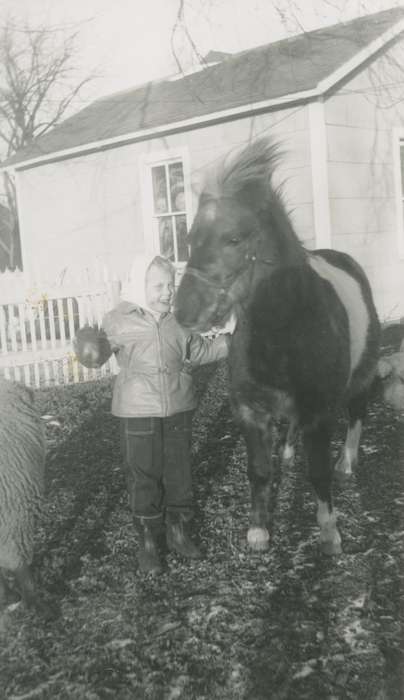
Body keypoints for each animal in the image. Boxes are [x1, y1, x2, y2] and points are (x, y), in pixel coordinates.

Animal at [175, 137, 380, 556]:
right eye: (189, 239)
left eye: (234, 238)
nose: (182, 310)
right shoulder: (250, 411)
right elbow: (258, 471)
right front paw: (258, 530)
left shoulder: (318, 413)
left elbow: (317, 472)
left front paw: (329, 532)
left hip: (361, 377)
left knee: (356, 415)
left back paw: (347, 462)